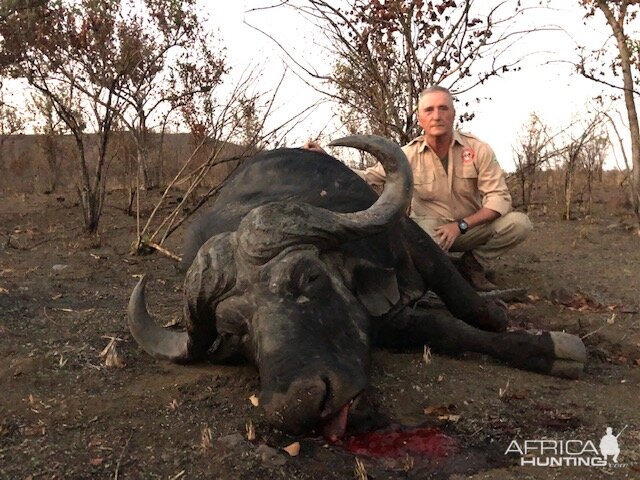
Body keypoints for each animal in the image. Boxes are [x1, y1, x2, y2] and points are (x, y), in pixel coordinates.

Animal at [129, 134, 584, 438]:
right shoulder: (390, 322)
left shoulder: (409, 238)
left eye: (309, 277)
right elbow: (444, 331)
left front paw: (528, 333)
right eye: (232, 332)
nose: (300, 406)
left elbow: (462, 301)